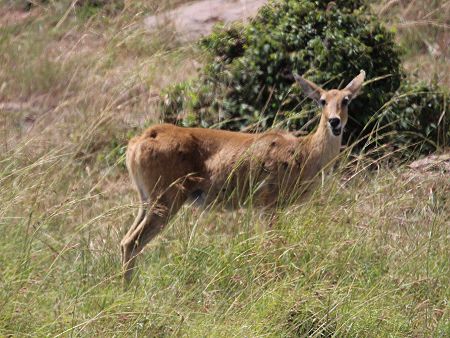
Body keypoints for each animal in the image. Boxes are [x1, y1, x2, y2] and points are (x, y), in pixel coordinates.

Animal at [120, 70, 366, 282]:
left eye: (346, 100)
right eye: (322, 100)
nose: (334, 121)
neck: (304, 153)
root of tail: (138, 141)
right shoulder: (268, 203)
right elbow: (272, 244)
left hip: (146, 200)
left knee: (125, 241)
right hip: (167, 198)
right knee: (133, 242)